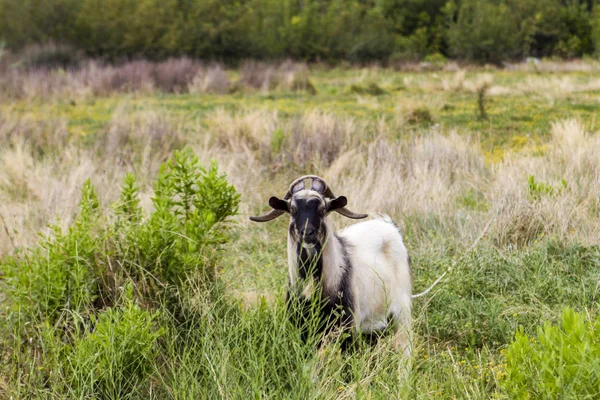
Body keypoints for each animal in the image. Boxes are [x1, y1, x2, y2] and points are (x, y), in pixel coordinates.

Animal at [250, 175, 412, 356]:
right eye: (292, 209)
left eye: (322, 209)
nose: (307, 233)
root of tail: (391, 227)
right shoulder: (303, 330)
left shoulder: (348, 327)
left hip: (401, 313)